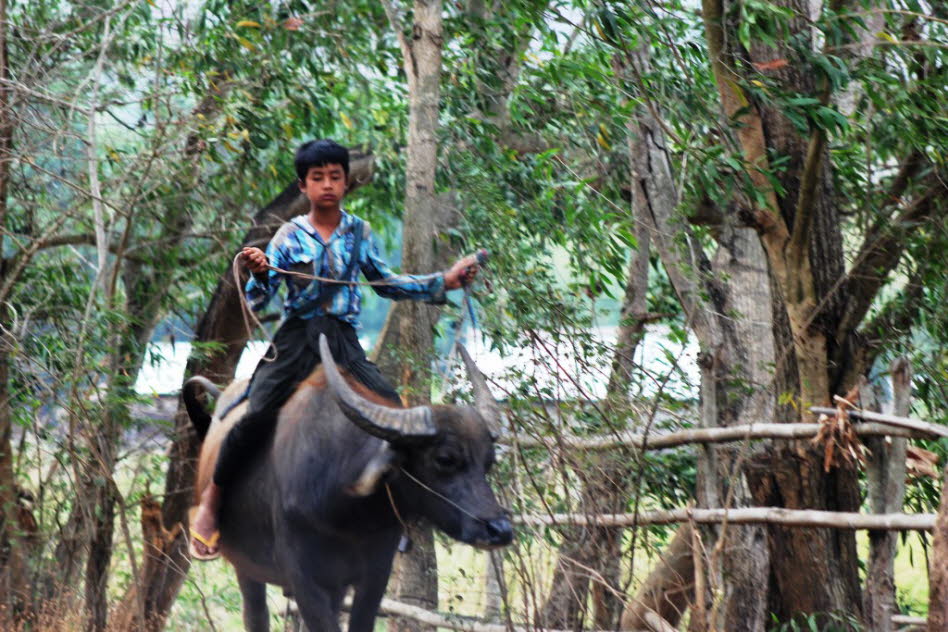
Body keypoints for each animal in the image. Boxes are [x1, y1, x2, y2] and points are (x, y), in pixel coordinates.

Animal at [184, 334, 512, 628]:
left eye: (488, 462)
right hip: (245, 567)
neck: (349, 517)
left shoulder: (373, 578)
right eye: (444, 459)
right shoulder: (305, 581)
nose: (500, 530)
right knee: (255, 616)